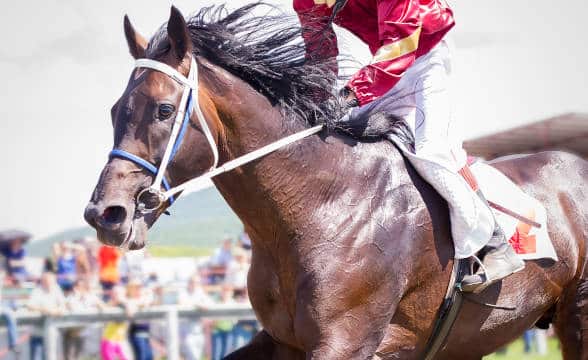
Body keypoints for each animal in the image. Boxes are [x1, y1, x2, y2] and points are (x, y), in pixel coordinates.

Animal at [84, 4, 588, 358]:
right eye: (113, 110)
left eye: (164, 110)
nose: (105, 213)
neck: (320, 205)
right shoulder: (282, 340)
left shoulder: (346, 342)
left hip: (578, 315)